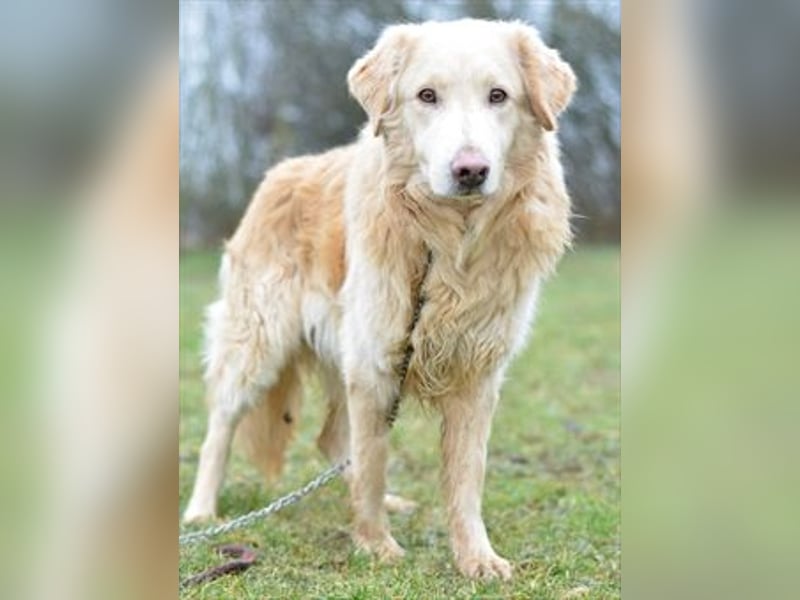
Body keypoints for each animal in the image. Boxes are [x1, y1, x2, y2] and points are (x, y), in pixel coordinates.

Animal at [183, 19, 576, 580]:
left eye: (498, 96)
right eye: (427, 96)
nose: (471, 171)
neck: (448, 242)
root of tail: (279, 172)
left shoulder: (477, 372)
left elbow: (465, 477)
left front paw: (475, 557)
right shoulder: (374, 362)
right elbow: (373, 463)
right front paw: (376, 546)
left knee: (333, 440)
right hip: (257, 344)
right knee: (220, 426)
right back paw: (201, 511)